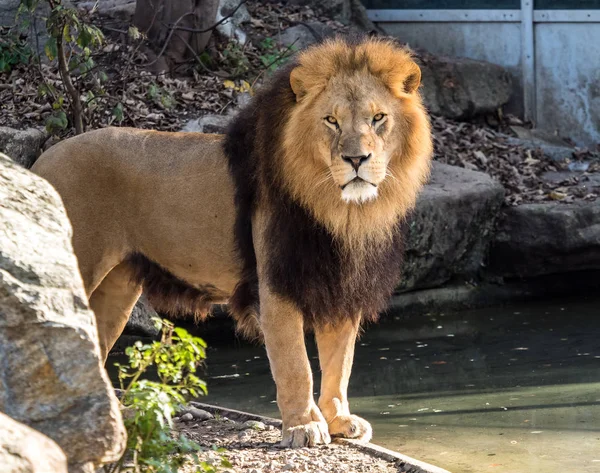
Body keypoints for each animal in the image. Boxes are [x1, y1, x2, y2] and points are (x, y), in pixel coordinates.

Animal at [31, 37, 432, 446]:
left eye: (378, 118)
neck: (342, 211)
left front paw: (338, 420)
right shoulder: (277, 283)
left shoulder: (341, 282)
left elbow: (340, 360)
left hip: (117, 288)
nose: (356, 159)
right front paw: (303, 426)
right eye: (331, 120)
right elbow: (295, 363)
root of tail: (43, 158)